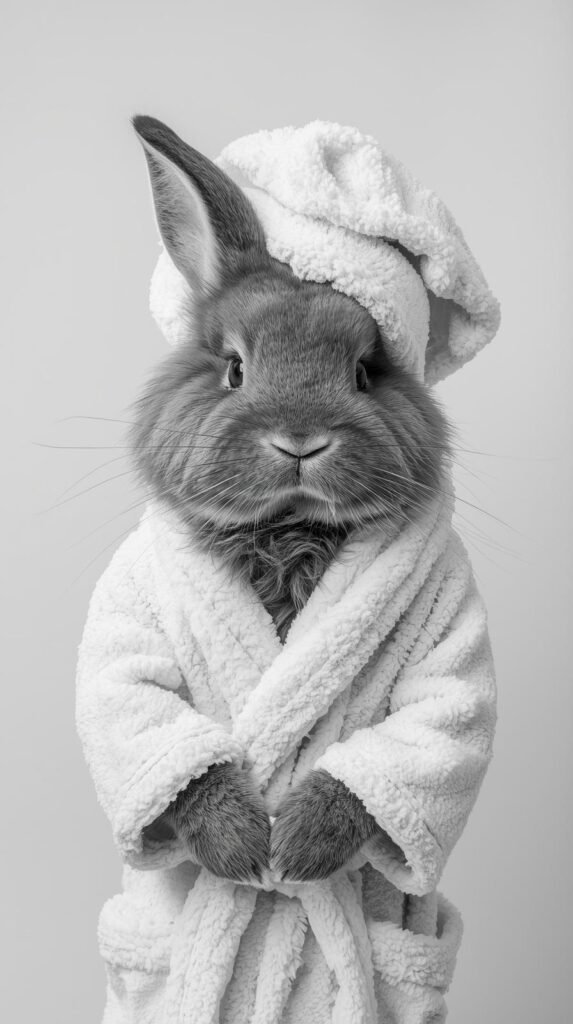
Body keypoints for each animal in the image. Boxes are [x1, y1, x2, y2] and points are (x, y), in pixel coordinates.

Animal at [131, 116, 452, 886]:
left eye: (365, 372)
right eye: (233, 369)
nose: (299, 440)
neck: (287, 529)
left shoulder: (446, 670)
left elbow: (413, 736)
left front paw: (300, 848)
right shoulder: (130, 655)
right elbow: (158, 724)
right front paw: (243, 849)